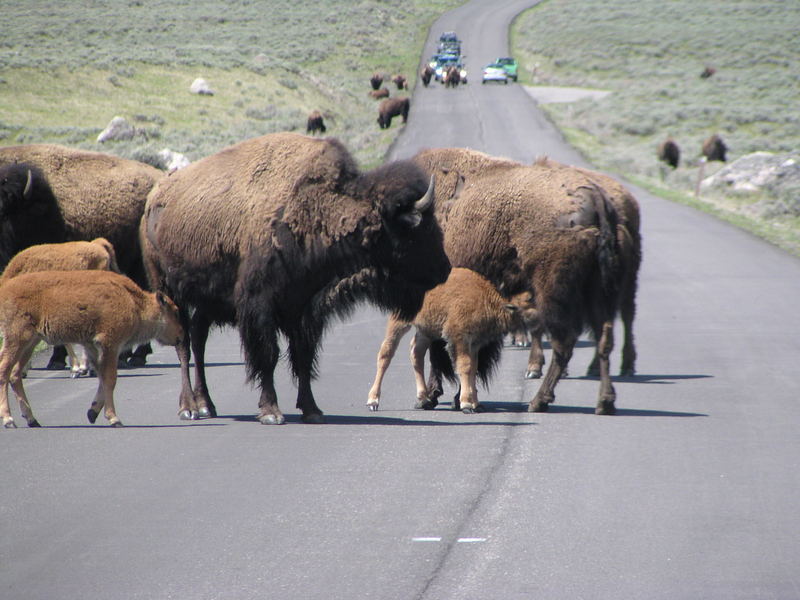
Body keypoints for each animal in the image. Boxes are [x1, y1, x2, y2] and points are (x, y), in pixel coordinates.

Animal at [0, 270, 183, 428]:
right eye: (175, 312)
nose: (181, 336)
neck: (134, 302)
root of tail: (5, 289)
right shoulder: (110, 344)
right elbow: (110, 378)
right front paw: (114, 418)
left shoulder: (91, 346)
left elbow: (102, 376)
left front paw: (92, 412)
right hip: (17, 339)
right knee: (5, 370)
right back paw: (9, 420)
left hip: (30, 343)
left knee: (15, 374)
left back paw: (32, 420)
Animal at [142, 132, 450, 422]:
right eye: (419, 226)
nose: (444, 269)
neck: (313, 207)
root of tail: (155, 197)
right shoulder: (260, 307)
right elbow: (269, 356)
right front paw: (271, 412)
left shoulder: (303, 308)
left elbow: (303, 357)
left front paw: (312, 410)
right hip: (169, 291)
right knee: (183, 344)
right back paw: (189, 408)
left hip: (207, 301)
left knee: (198, 338)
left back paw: (207, 404)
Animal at [368, 268, 524, 412]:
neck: (486, 297)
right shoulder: (458, 339)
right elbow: (465, 366)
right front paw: (466, 404)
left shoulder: (474, 344)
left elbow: (473, 367)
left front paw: (476, 404)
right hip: (399, 321)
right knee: (386, 353)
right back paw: (373, 401)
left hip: (426, 329)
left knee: (416, 352)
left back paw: (424, 399)